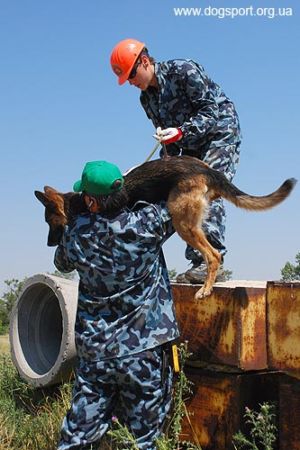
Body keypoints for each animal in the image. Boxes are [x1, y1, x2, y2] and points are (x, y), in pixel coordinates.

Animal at [35, 156, 296, 298]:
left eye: (49, 221)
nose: (48, 244)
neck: (80, 204)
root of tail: (207, 170)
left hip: (183, 224)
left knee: (213, 256)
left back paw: (205, 289)